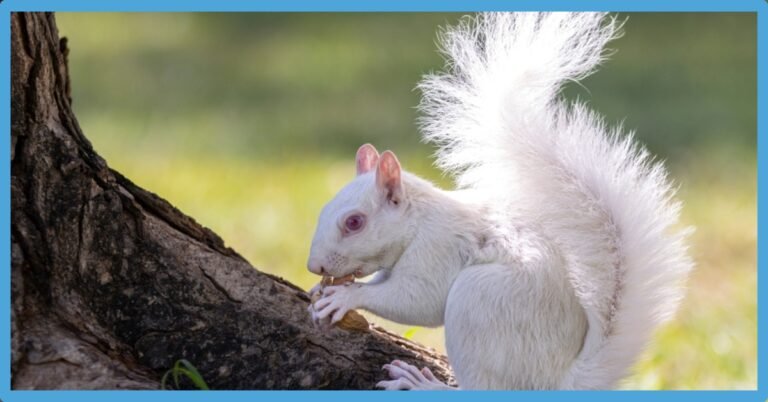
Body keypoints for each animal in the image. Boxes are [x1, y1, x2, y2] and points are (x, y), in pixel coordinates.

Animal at [306, 12, 693, 390]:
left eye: (354, 222)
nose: (315, 266)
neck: (419, 222)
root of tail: (560, 382)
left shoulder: (438, 250)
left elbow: (416, 301)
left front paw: (347, 297)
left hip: (477, 303)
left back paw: (424, 385)